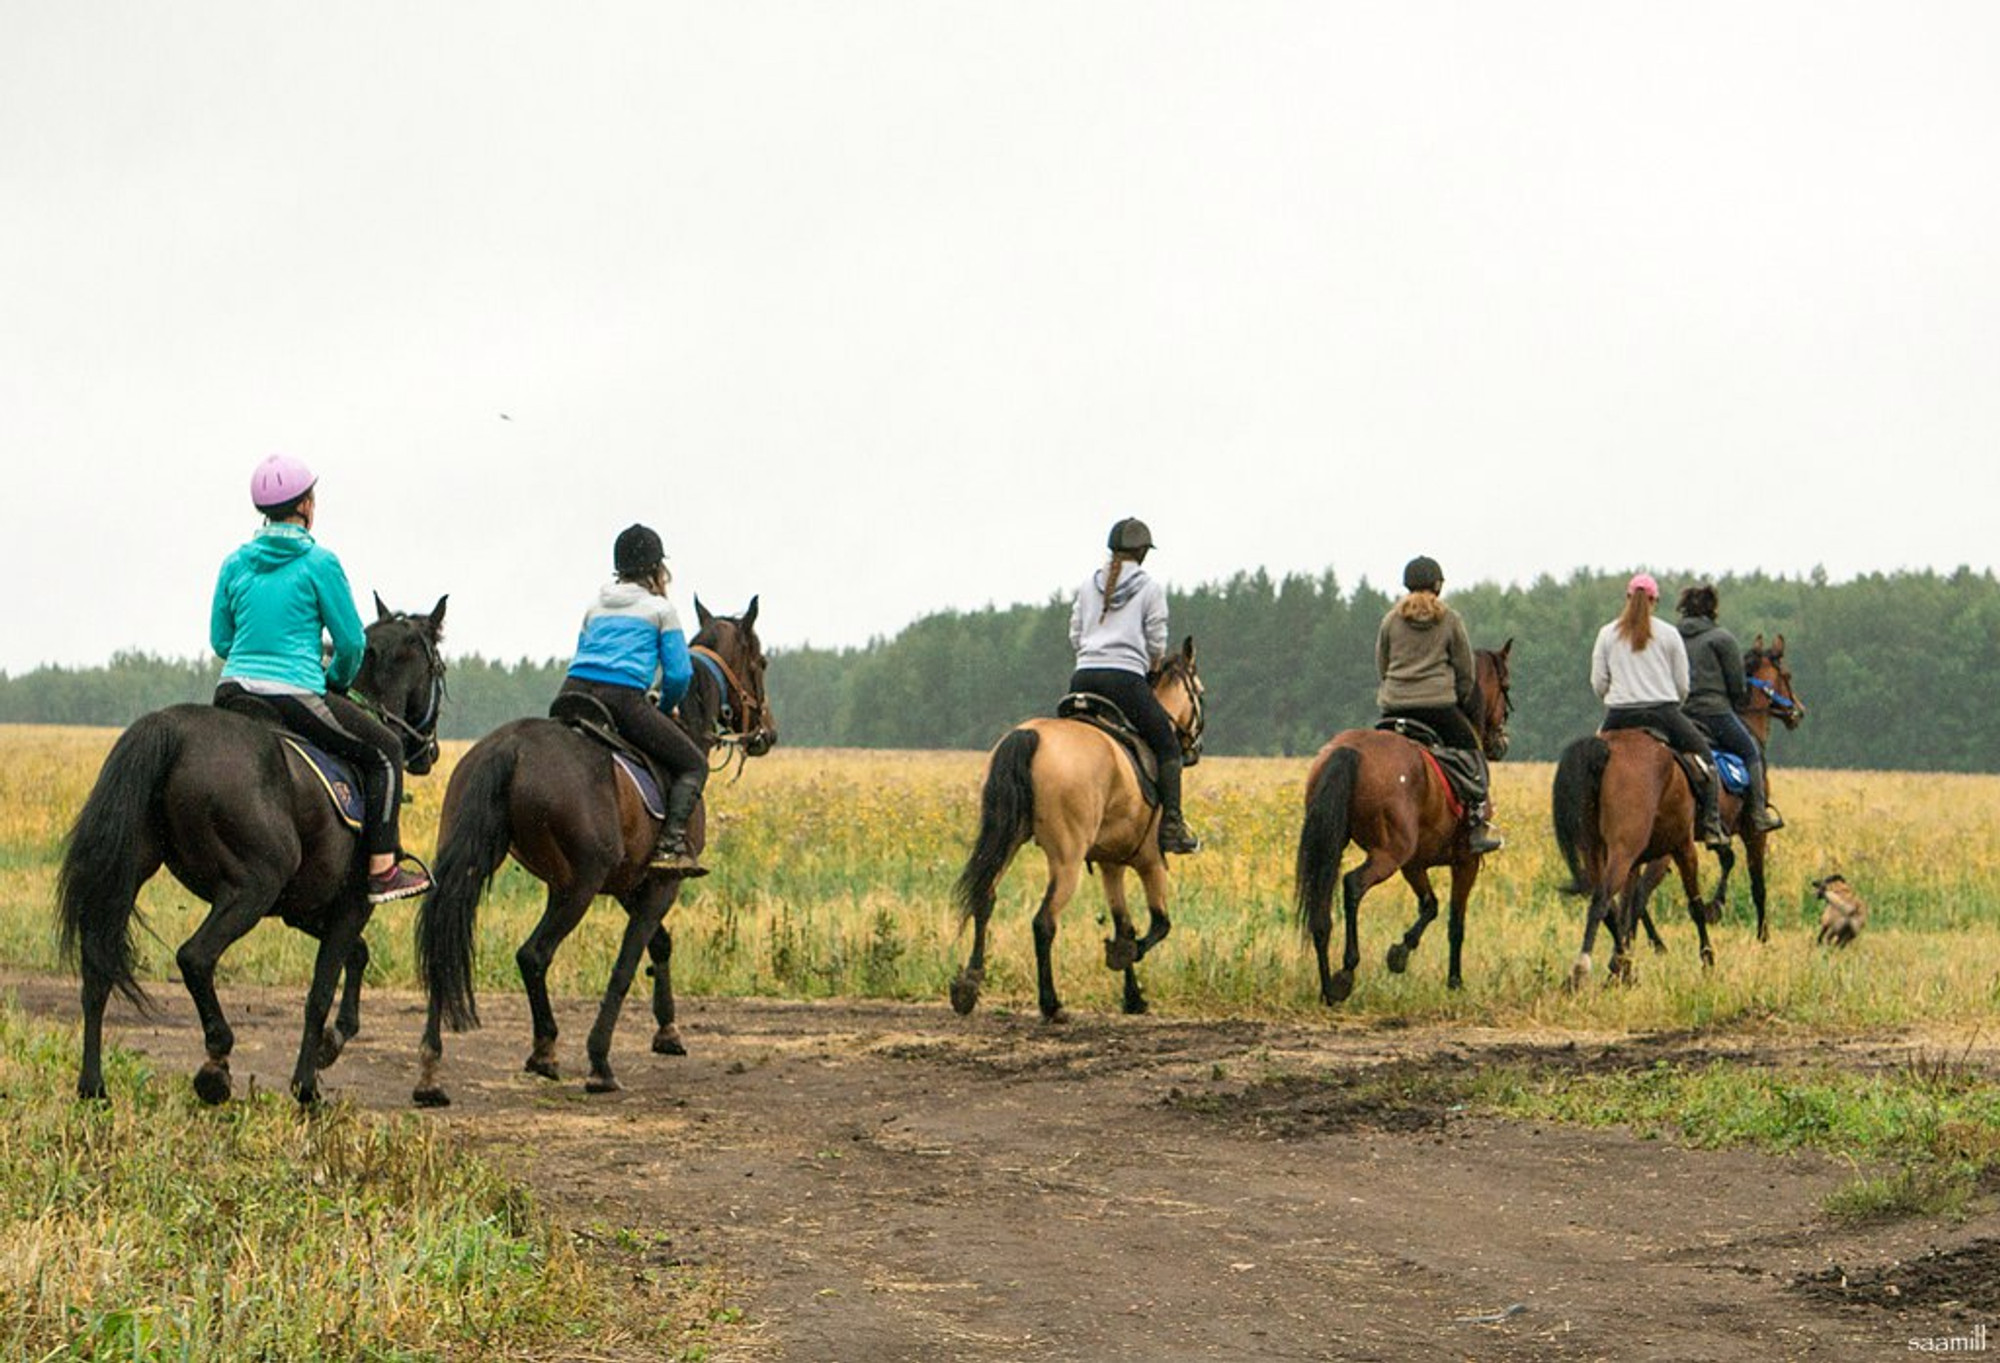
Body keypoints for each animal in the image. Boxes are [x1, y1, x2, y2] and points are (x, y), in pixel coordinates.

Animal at [56, 587, 448, 1095]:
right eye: (439, 667)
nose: (428, 752)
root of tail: (171, 729)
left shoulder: (305, 908)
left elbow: (356, 956)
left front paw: (333, 1042)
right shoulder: (351, 904)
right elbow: (320, 989)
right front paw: (307, 1086)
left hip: (130, 875)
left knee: (97, 969)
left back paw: (94, 1086)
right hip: (252, 887)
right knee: (195, 957)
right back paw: (215, 1065)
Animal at [414, 595, 772, 1103]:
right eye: (761, 662)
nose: (767, 734)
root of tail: (509, 747)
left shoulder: (628, 884)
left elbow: (660, 944)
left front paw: (668, 1031)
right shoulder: (661, 884)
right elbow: (626, 964)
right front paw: (601, 1061)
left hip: (473, 867)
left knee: (445, 947)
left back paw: (431, 1072)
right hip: (576, 886)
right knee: (534, 954)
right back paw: (548, 1050)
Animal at [948, 635, 1208, 1019]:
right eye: (1200, 694)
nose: (1195, 750)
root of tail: (1029, 735)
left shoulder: (1111, 864)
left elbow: (1126, 925)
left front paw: (1133, 997)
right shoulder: (1150, 861)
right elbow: (1159, 924)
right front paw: (1123, 958)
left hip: (1006, 841)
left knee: (984, 898)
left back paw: (968, 986)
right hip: (1066, 859)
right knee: (1043, 922)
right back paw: (1051, 1005)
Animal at [1288, 643, 1504, 1003]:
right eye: (1506, 687)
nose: (1501, 743)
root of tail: (1350, 749)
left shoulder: (1414, 864)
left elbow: (1430, 906)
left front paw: (1400, 953)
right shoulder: (1466, 862)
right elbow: (1455, 923)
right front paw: (1454, 981)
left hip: (1334, 844)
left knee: (1322, 902)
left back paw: (1327, 986)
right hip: (1389, 854)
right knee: (1353, 884)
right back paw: (1345, 972)